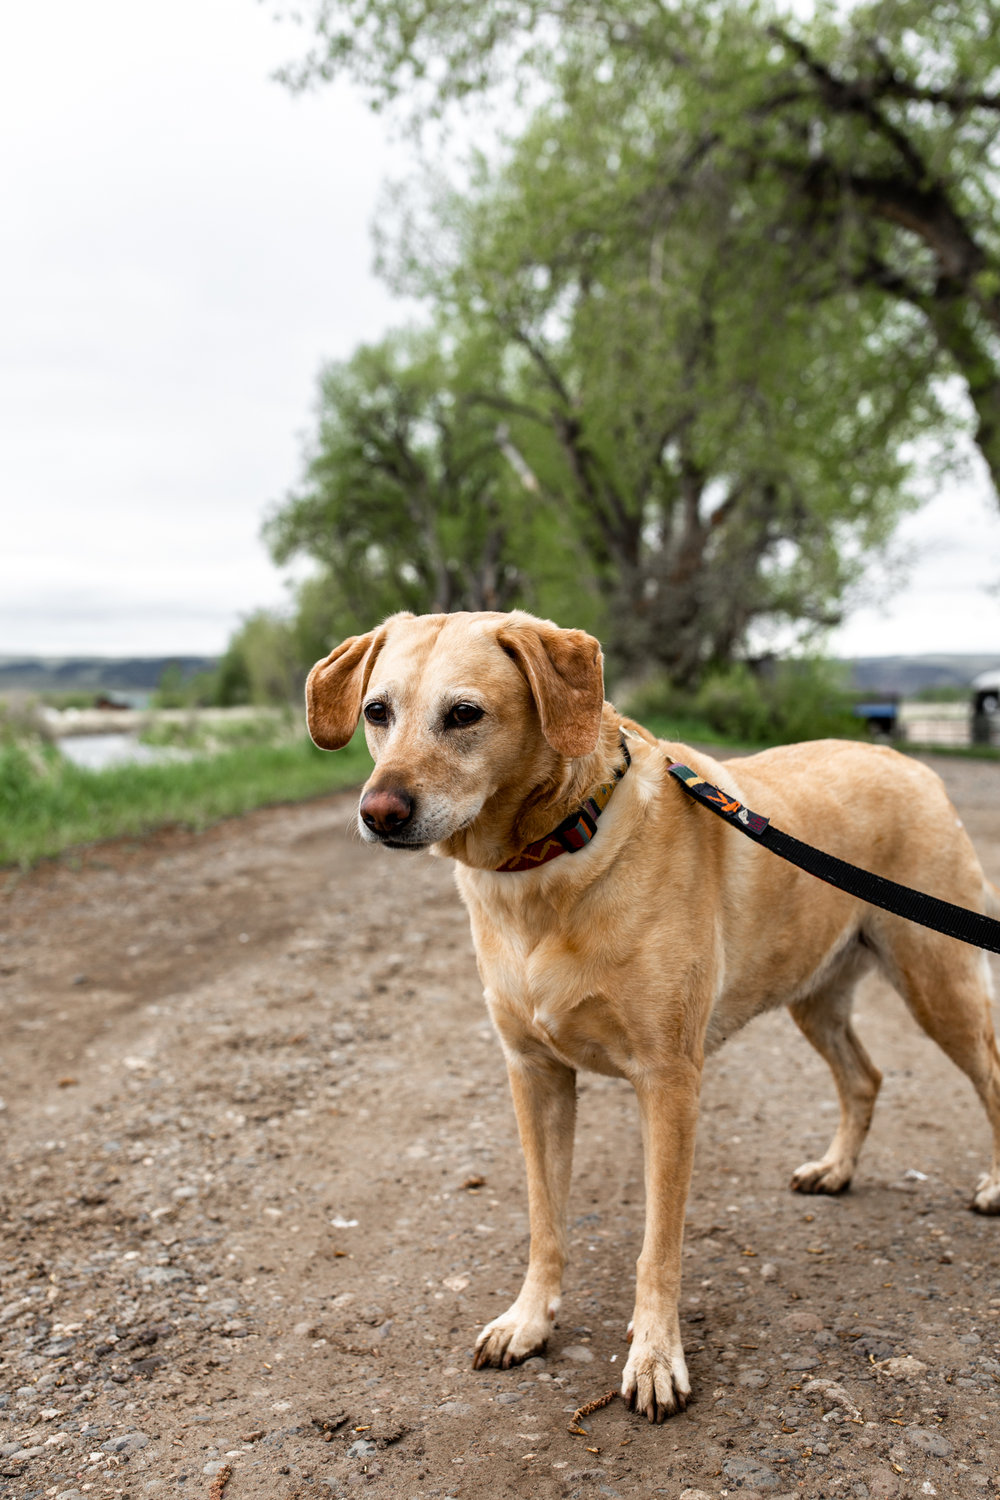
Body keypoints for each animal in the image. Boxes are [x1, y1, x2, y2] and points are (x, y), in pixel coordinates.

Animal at [305, 606, 1000, 1416]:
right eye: (377, 712)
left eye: (465, 714)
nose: (379, 812)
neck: (550, 857)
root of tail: (909, 762)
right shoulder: (534, 1074)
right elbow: (545, 1221)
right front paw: (529, 1321)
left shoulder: (668, 1082)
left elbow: (657, 1247)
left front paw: (656, 1356)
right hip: (816, 997)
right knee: (865, 1077)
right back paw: (835, 1169)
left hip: (939, 984)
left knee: (988, 1077)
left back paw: (991, 1186)